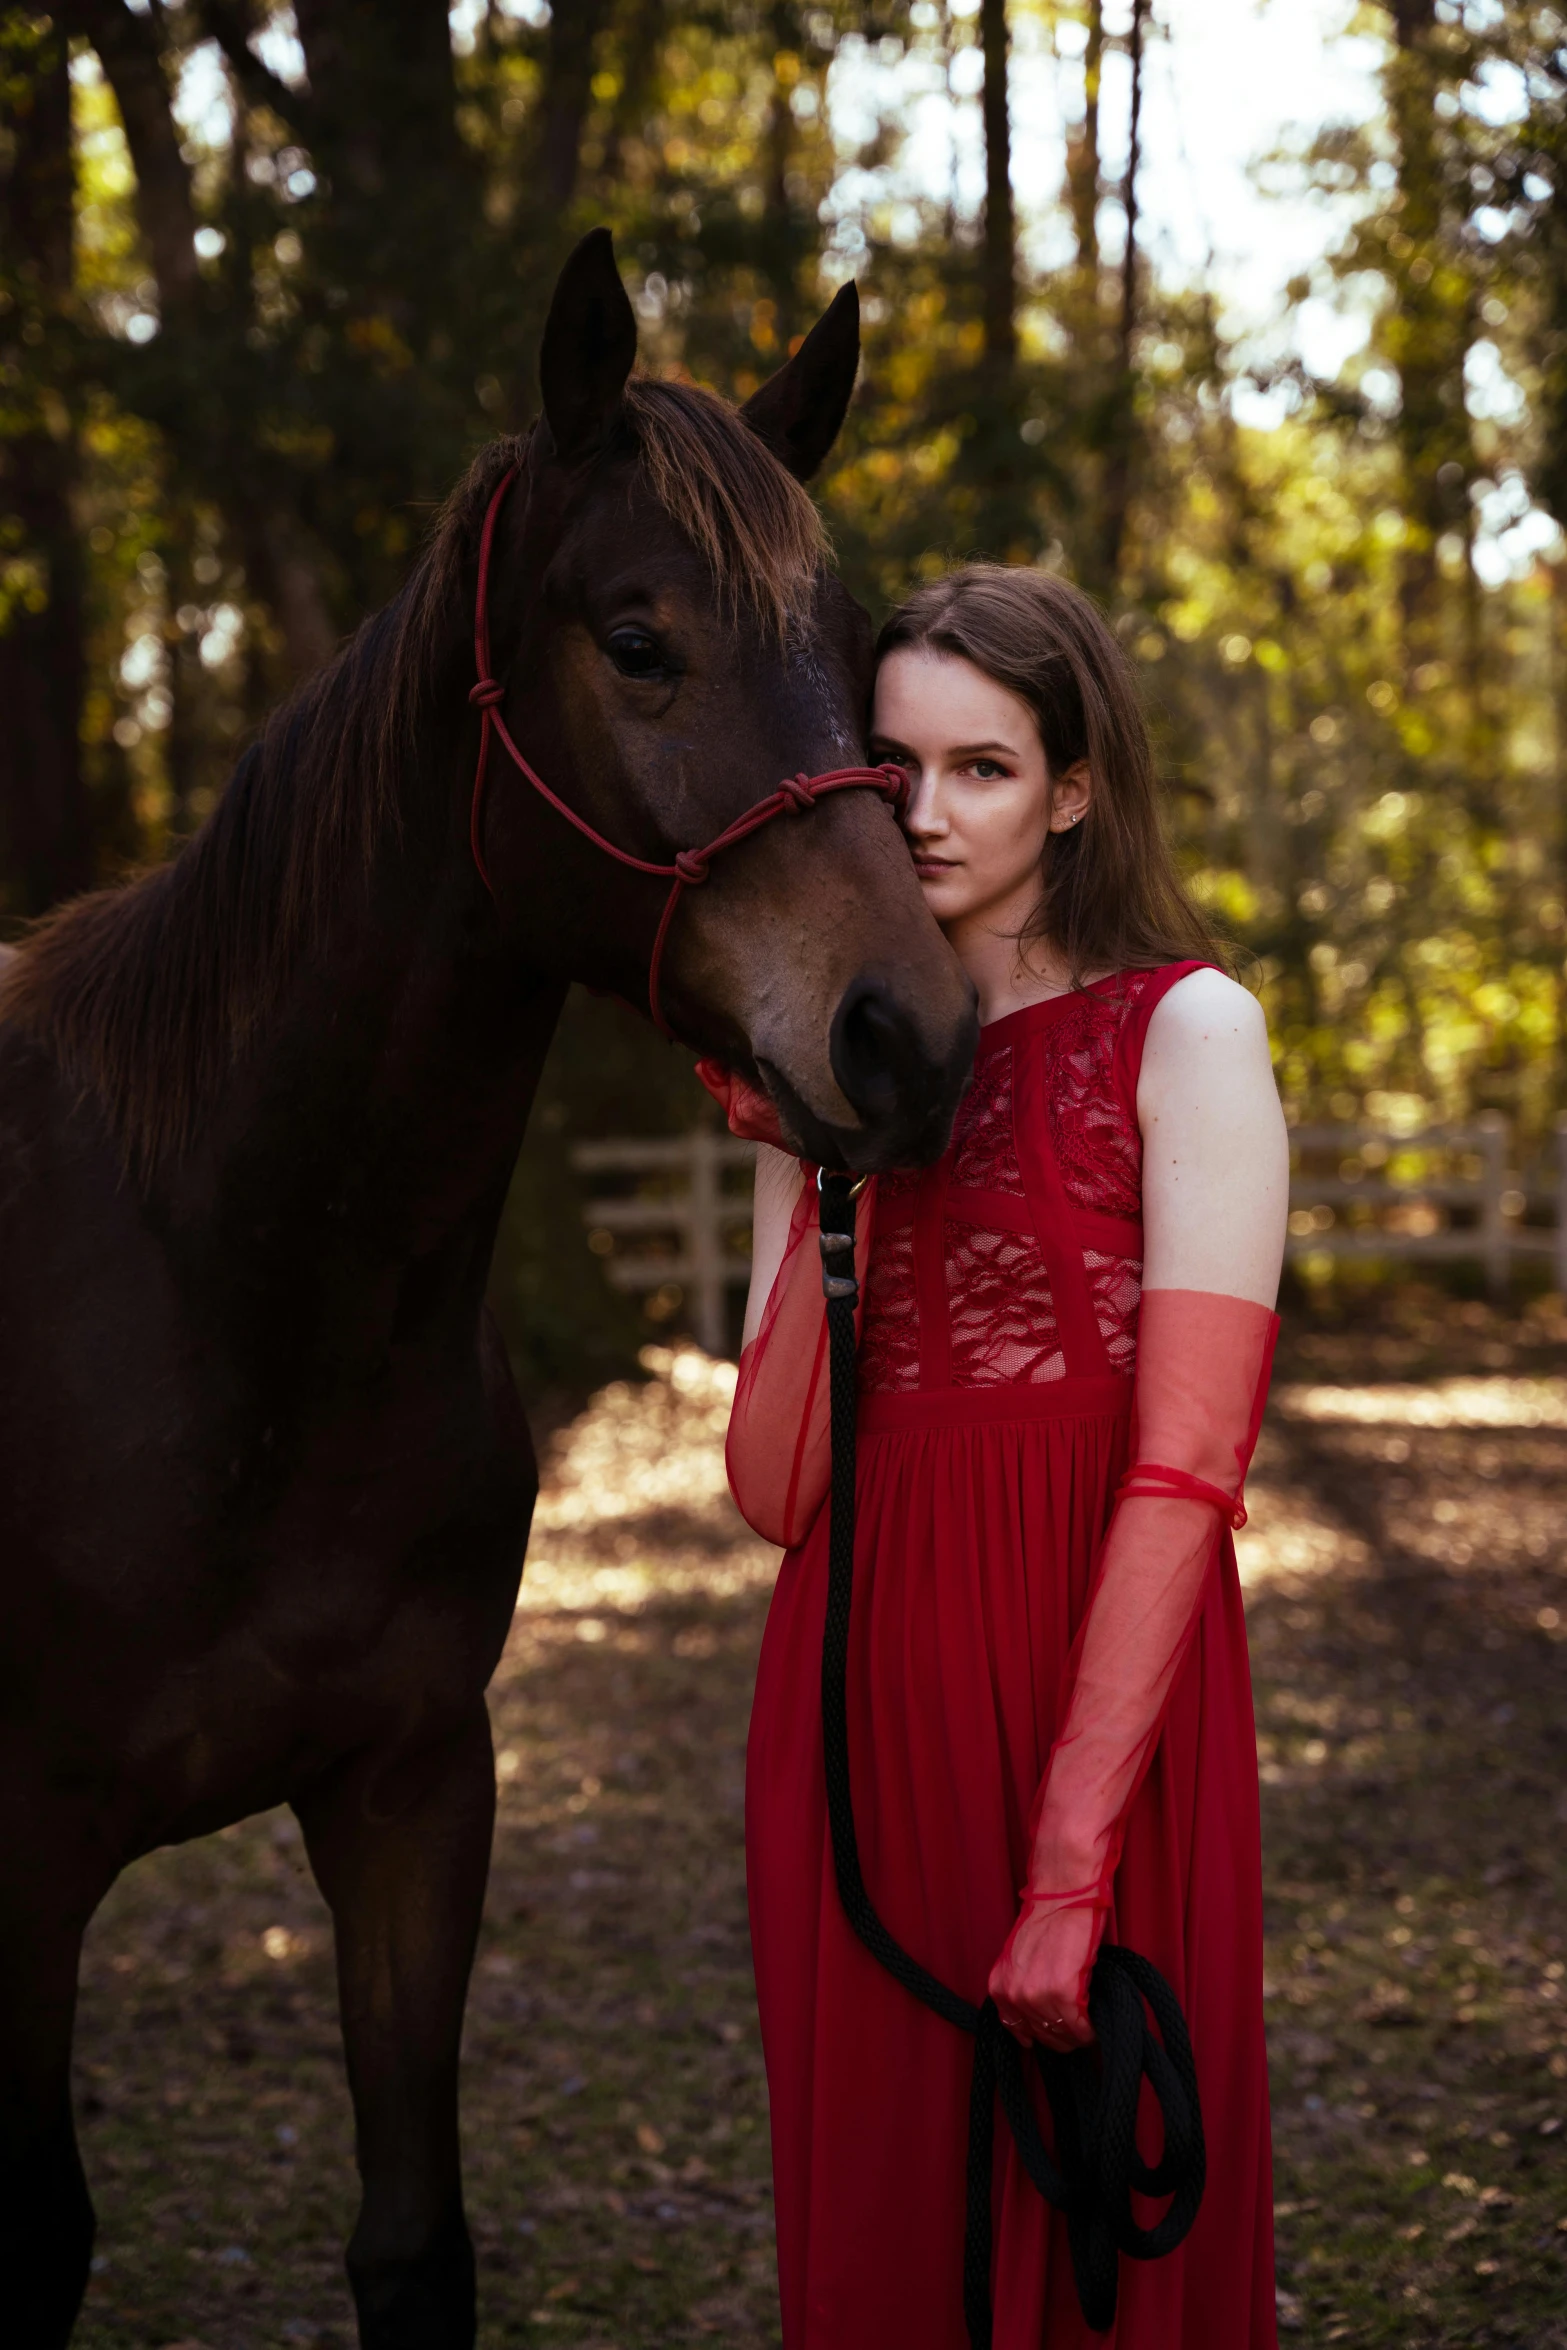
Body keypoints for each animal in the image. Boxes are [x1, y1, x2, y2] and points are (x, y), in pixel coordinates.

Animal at [0, 229, 982, 2340]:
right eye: (635, 640)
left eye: (850, 643)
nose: (910, 1037)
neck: (236, 1297)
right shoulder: (22, 1852)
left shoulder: (415, 1791)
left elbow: (411, 2239)